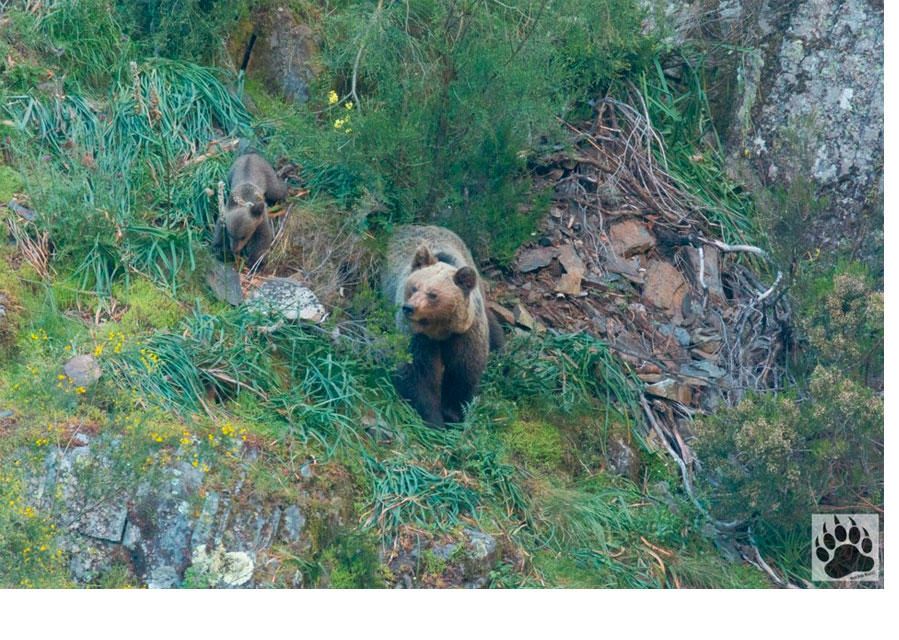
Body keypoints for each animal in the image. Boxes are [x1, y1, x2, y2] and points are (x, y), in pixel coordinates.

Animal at [382, 222, 502, 428]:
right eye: (414, 287)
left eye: (433, 294)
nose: (409, 308)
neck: (440, 329)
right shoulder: (417, 335)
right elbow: (419, 372)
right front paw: (434, 418)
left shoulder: (465, 332)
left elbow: (463, 371)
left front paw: (453, 414)